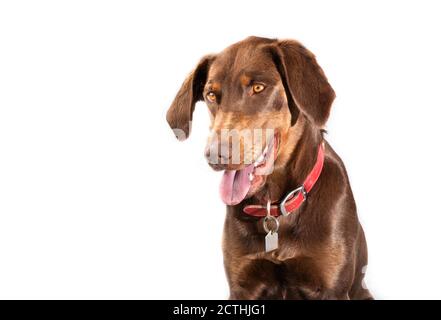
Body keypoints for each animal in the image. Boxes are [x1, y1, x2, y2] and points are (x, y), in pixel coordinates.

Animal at [165, 37, 372, 300]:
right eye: (211, 95)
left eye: (257, 88)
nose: (215, 155)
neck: (275, 208)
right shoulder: (242, 286)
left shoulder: (331, 289)